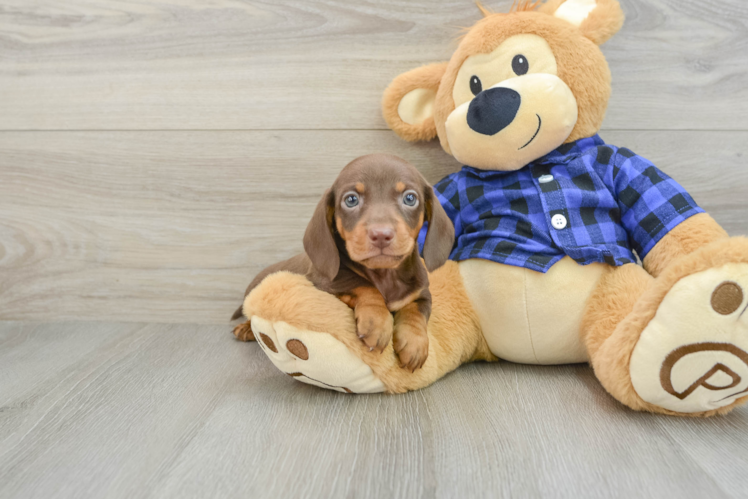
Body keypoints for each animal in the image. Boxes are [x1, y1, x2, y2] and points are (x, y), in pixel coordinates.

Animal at [234, 153, 452, 372]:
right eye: (351, 200)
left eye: (410, 198)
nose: (381, 235)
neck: (385, 274)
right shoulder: (321, 283)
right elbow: (363, 285)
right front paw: (377, 321)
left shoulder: (422, 293)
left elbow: (416, 312)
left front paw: (414, 343)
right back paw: (245, 328)